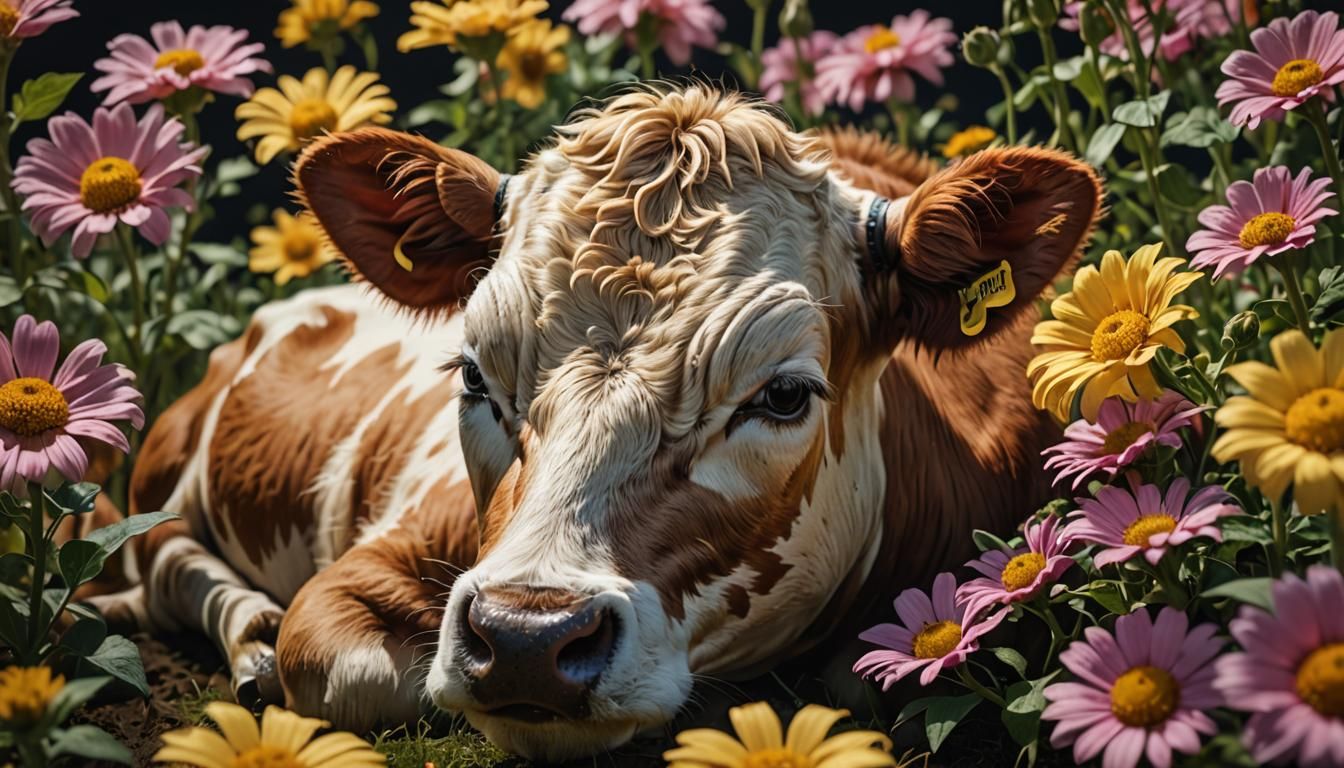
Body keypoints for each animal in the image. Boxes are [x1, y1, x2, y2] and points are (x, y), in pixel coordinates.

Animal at [92, 85, 1101, 761]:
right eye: (474, 372)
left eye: (782, 395)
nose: (526, 640)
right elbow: (351, 670)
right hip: (161, 466)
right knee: (160, 561)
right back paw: (247, 635)